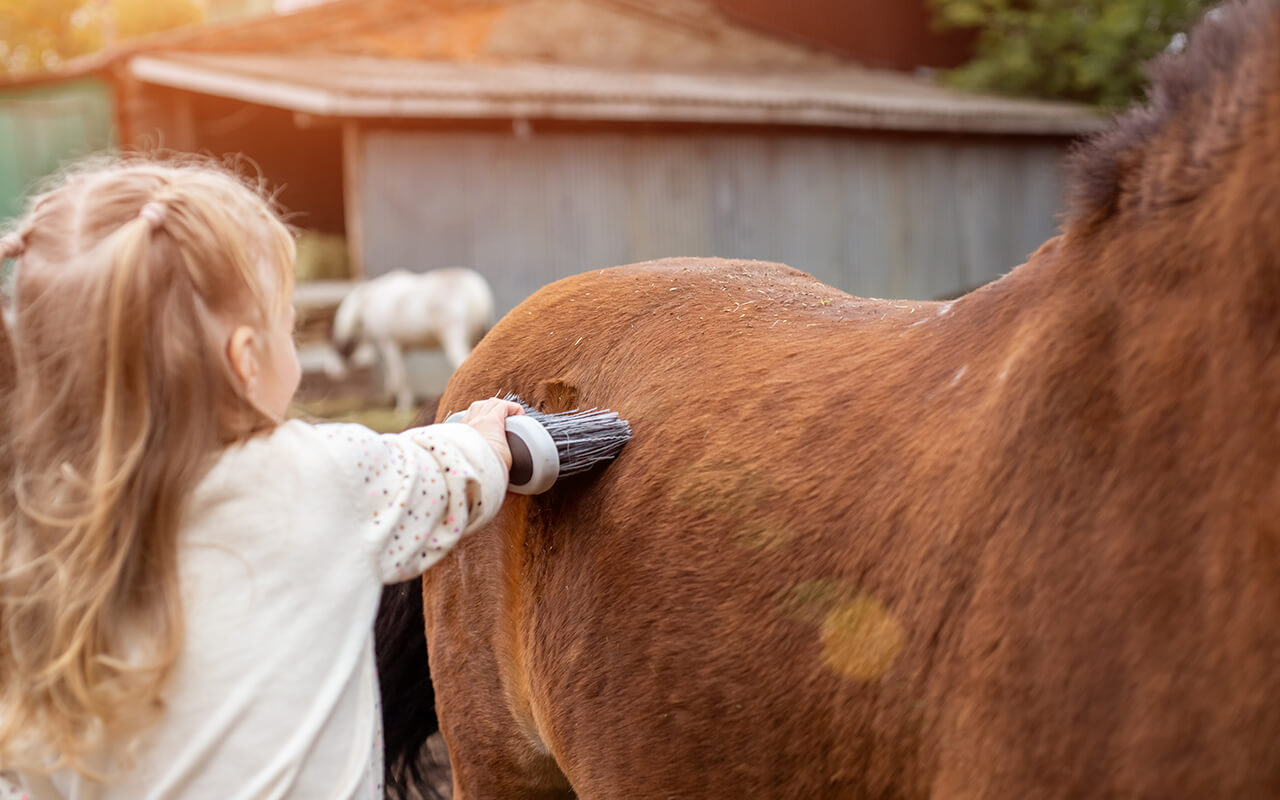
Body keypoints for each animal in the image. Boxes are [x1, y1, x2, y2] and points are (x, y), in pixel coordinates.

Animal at [330, 268, 494, 412]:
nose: (334, 371)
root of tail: (474, 290)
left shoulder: (389, 343)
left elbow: (398, 375)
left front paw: (402, 405)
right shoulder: (401, 349)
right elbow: (395, 374)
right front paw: (395, 397)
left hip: (453, 337)